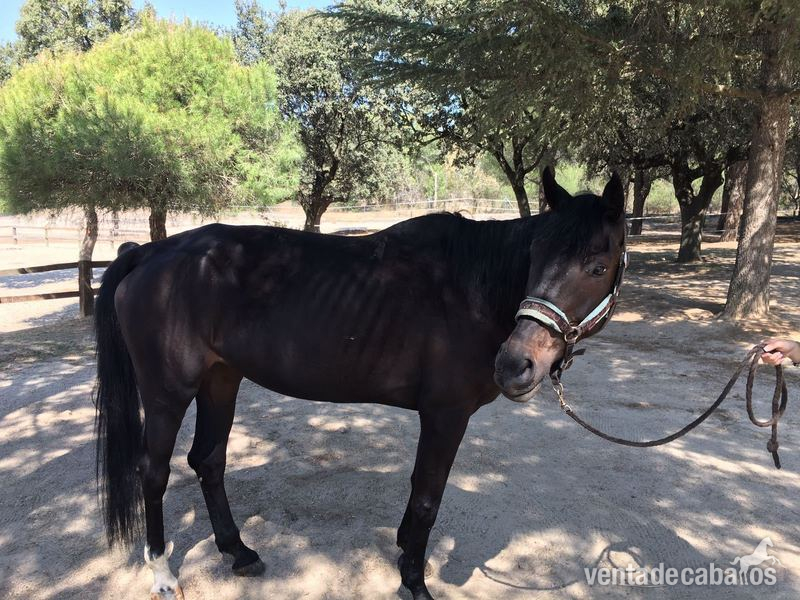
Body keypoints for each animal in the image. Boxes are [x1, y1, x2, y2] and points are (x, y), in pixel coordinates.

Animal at [93, 168, 627, 600]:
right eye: (534, 258)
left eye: (597, 267)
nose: (516, 365)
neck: (469, 290)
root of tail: (151, 252)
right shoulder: (445, 415)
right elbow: (428, 497)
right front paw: (414, 581)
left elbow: (419, 493)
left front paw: (404, 552)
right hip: (168, 392)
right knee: (154, 473)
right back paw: (163, 575)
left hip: (220, 380)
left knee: (208, 460)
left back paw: (239, 552)